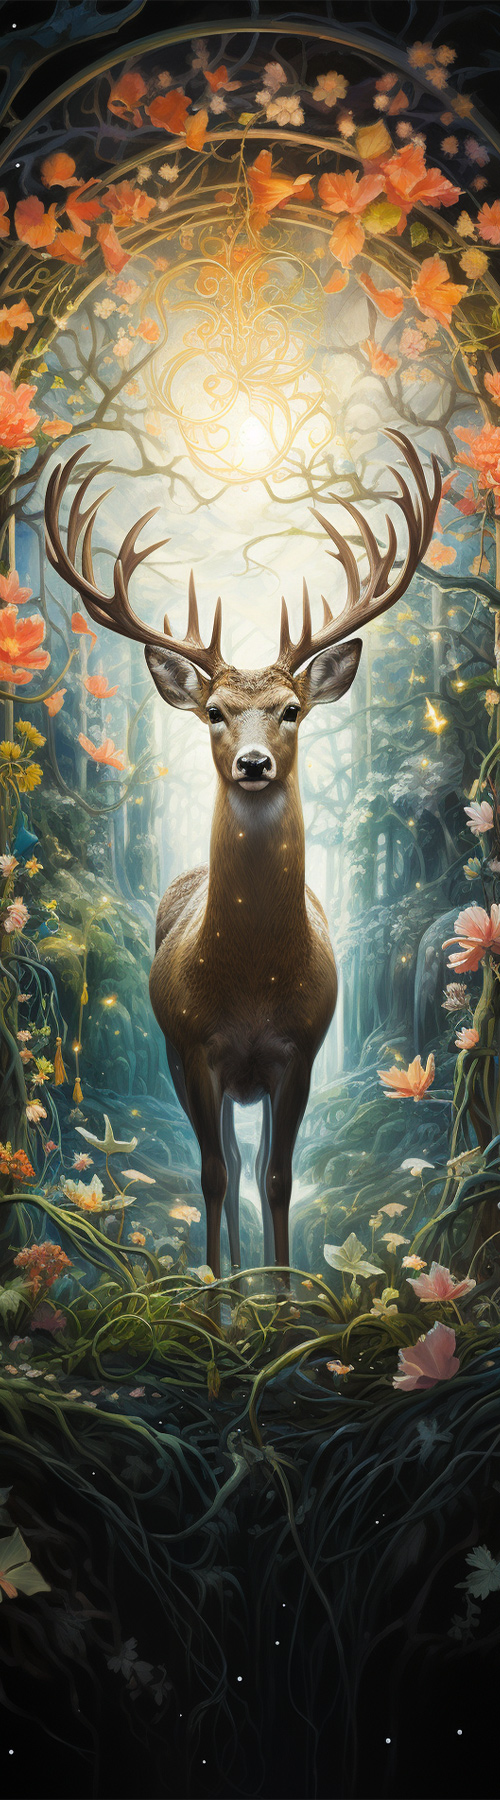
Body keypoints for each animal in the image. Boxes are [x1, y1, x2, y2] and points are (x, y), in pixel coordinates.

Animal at [45, 431, 440, 1280]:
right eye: (216, 713)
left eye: (291, 709)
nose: (254, 764)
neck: (253, 984)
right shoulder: (192, 1047)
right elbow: (215, 1175)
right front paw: (219, 1297)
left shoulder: (303, 1049)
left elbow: (279, 1177)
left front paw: (285, 1294)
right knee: (223, 1160)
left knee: (252, 1165)